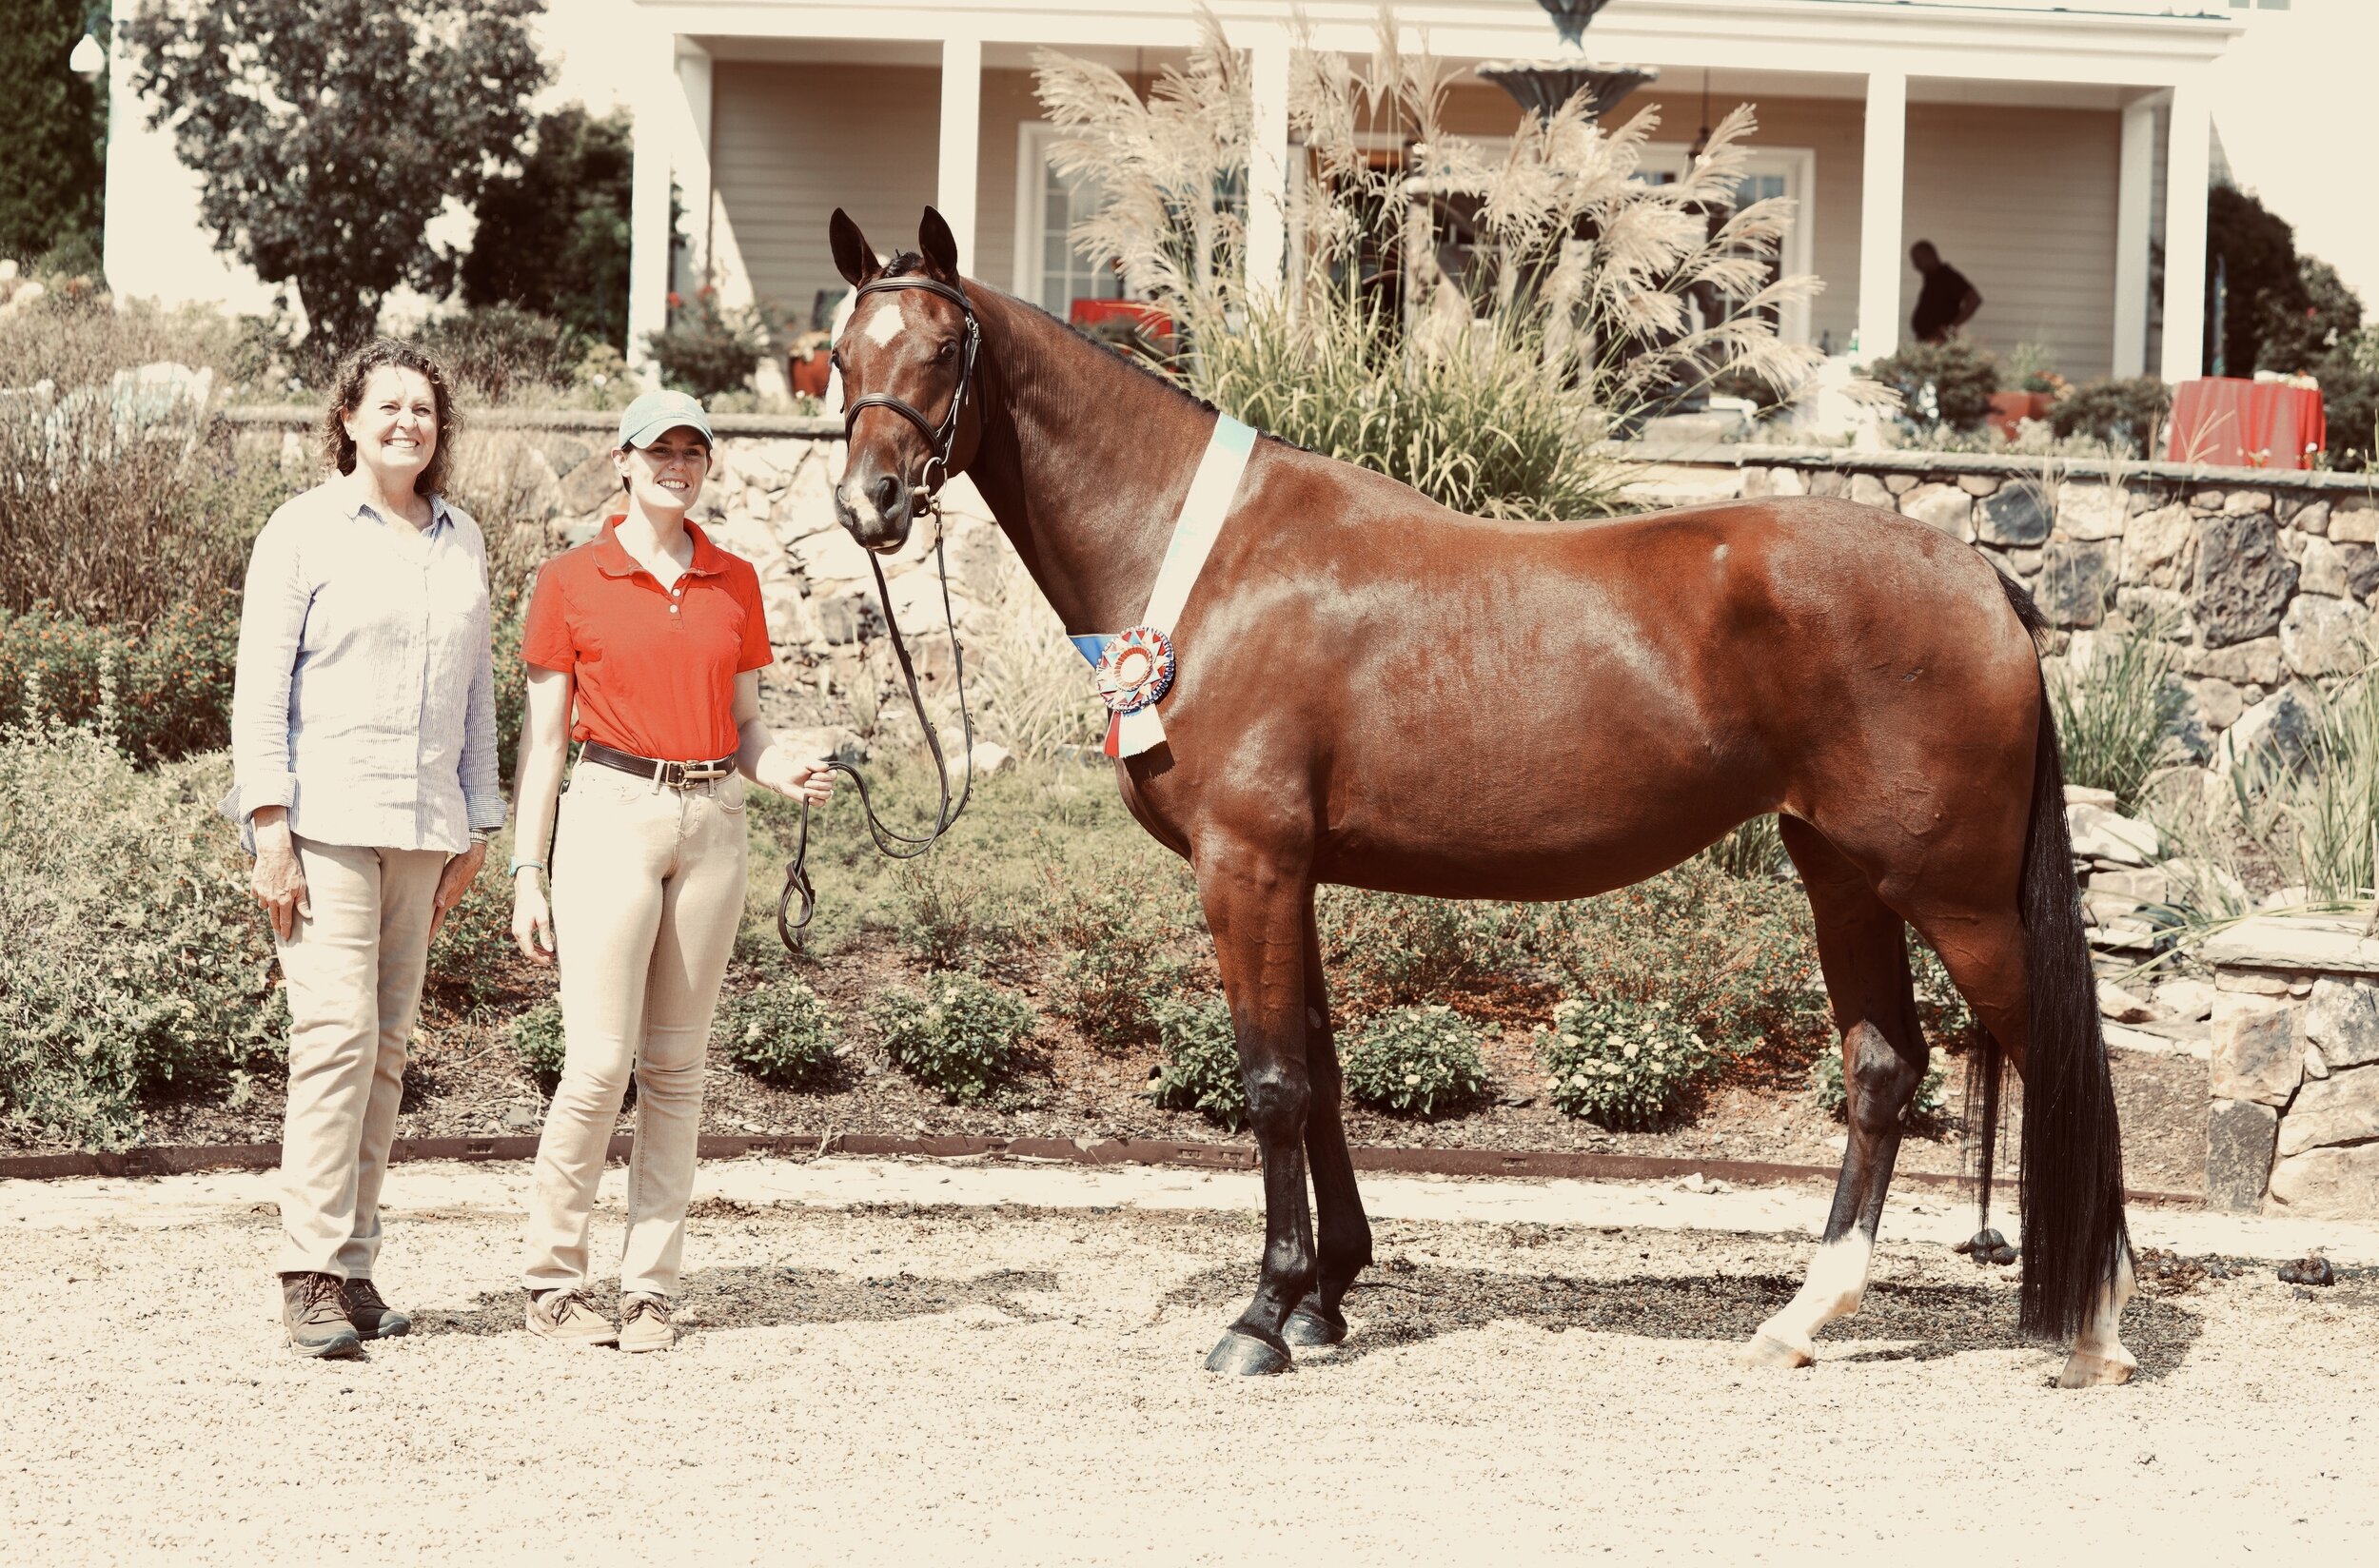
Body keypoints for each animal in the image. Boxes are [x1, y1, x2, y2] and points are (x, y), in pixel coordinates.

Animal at [823, 206, 2141, 1389]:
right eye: (843, 354)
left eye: (939, 349)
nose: (867, 503)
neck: (1211, 561)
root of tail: (1980, 578)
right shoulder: (1292, 871)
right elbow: (1320, 1070)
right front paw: (1325, 1298)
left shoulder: (1245, 862)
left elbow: (1271, 1082)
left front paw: (1262, 1315)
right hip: (1843, 876)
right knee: (1883, 1069)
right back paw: (1802, 1318)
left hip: (1955, 897)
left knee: (2056, 1063)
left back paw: (2097, 1327)